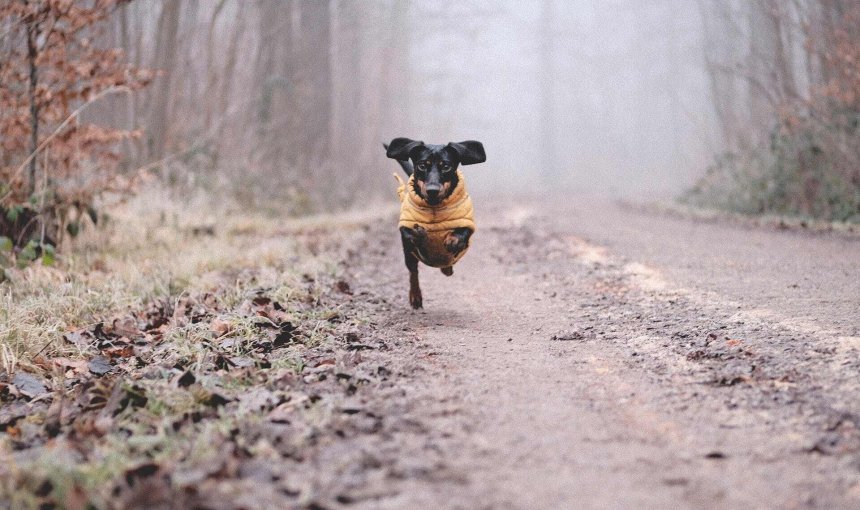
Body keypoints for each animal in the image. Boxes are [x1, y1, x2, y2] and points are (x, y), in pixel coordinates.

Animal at [382, 137, 484, 308]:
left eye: (446, 166)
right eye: (422, 165)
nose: (432, 190)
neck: (434, 207)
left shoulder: (467, 222)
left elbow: (462, 233)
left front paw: (453, 240)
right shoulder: (406, 229)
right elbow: (412, 236)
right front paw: (420, 235)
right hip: (409, 256)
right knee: (413, 271)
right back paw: (415, 296)